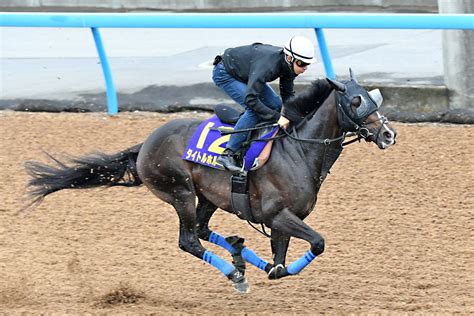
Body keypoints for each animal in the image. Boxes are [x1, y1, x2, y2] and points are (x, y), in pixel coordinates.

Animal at [25, 69, 396, 294]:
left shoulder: (284, 219)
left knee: (203, 231)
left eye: (373, 97)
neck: (298, 150)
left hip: (207, 197)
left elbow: (279, 262)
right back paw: (235, 273)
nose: (388, 134)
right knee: (189, 241)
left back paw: (236, 251)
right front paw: (261, 268)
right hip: (180, 193)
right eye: (355, 101)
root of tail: (145, 144)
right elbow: (315, 244)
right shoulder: (277, 214)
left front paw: (258, 260)